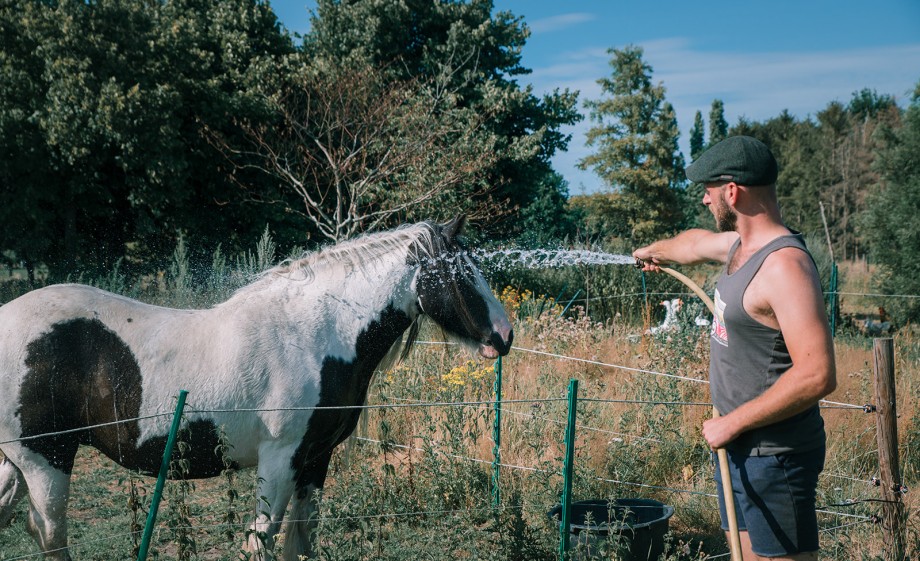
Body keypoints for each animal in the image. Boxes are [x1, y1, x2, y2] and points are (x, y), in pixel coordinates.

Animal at [0, 215, 513, 560]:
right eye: (460, 273)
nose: (505, 336)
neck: (316, 334)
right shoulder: (279, 458)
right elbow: (262, 537)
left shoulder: (314, 459)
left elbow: (300, 539)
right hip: (46, 460)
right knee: (50, 535)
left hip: (16, 465)